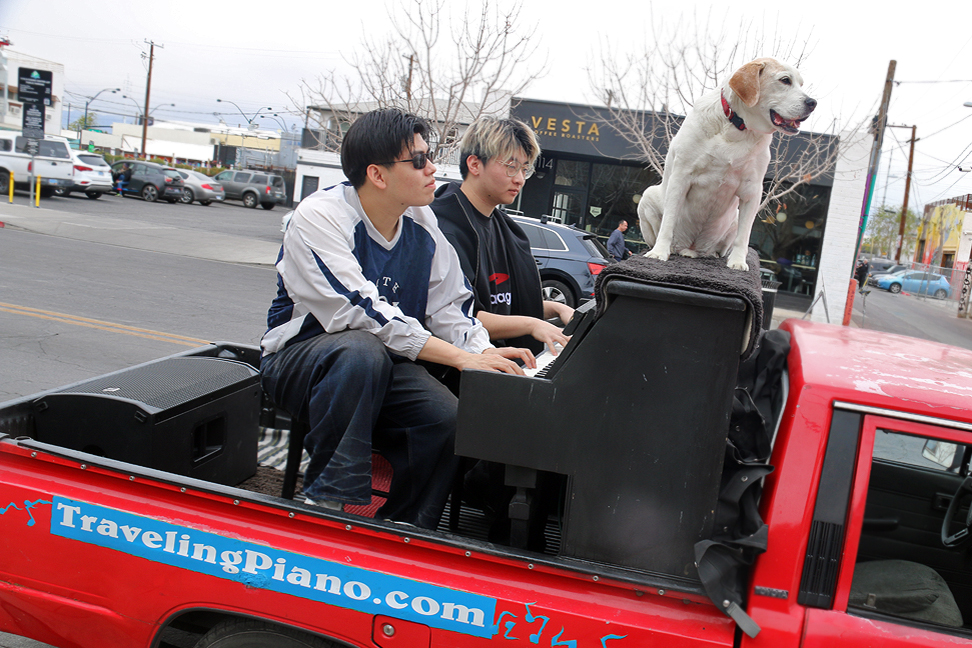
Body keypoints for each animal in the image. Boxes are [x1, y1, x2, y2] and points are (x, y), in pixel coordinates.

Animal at [638, 57, 816, 271]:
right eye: (785, 80)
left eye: (801, 84)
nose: (812, 103)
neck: (737, 127)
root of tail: (690, 247)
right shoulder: (681, 177)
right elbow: (668, 221)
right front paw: (659, 252)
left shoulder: (752, 191)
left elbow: (744, 236)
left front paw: (738, 262)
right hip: (647, 196)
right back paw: (668, 248)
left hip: (735, 216)